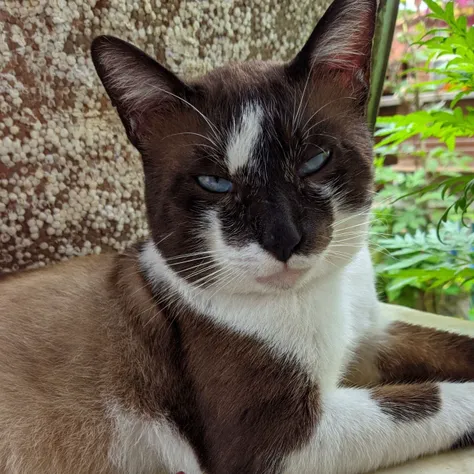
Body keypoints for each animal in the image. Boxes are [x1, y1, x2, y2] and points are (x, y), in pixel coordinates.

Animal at [0, 0, 474, 472]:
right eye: (215, 183)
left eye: (314, 161)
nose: (284, 239)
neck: (322, 295)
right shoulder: (271, 441)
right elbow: (428, 398)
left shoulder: (376, 335)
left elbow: (452, 345)